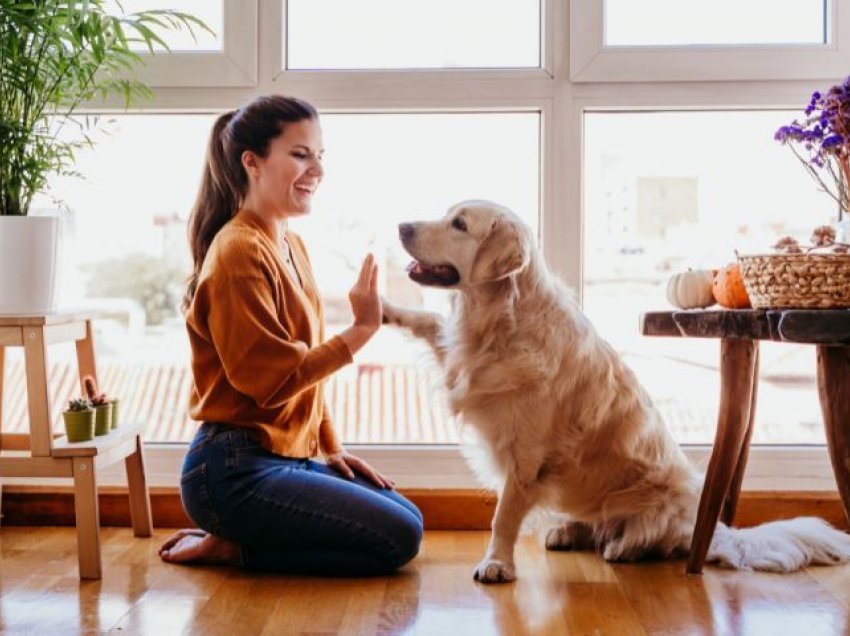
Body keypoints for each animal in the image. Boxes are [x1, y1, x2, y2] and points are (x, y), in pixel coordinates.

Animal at [382, 199, 848, 580]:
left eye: (459, 224)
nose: (401, 226)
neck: (500, 321)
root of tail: (714, 529)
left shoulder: (526, 456)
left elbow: (503, 516)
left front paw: (496, 564)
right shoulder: (460, 359)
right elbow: (428, 322)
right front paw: (383, 308)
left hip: (663, 500)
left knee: (656, 539)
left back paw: (624, 546)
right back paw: (567, 531)